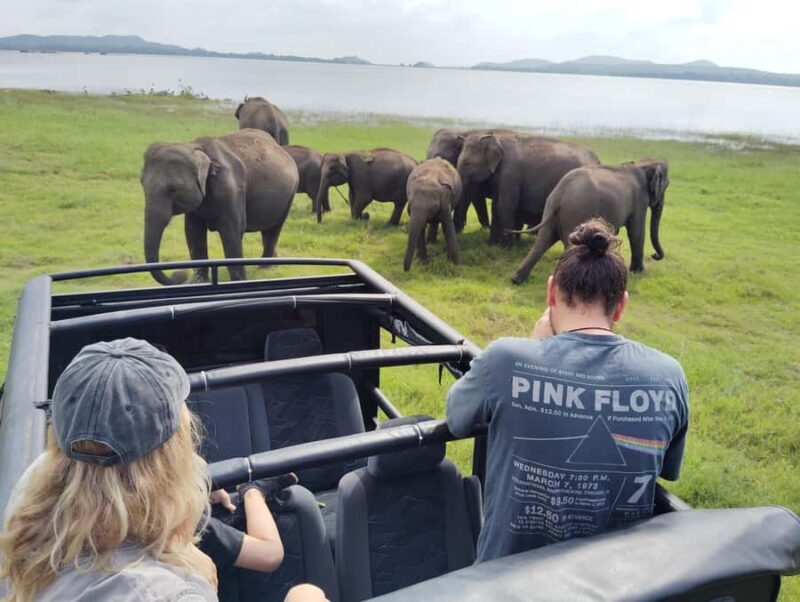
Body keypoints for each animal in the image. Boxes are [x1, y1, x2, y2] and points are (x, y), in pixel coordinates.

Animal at [141, 129, 299, 285]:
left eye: (173, 190)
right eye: (143, 185)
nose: (179, 274)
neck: (196, 148)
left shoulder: (231, 189)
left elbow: (232, 231)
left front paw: (239, 281)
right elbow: (193, 232)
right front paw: (199, 281)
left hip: (290, 194)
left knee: (274, 228)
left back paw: (266, 267)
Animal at [456, 132, 600, 245]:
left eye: (467, 163)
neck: (496, 138)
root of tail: (597, 161)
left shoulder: (511, 174)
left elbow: (505, 206)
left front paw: (505, 247)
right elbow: (495, 206)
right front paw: (491, 244)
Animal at [510, 160, 669, 284]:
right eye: (666, 186)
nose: (655, 256)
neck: (643, 164)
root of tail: (561, 192)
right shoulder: (640, 200)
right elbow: (636, 232)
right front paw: (639, 273)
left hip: (552, 211)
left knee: (543, 241)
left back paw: (517, 280)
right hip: (577, 212)